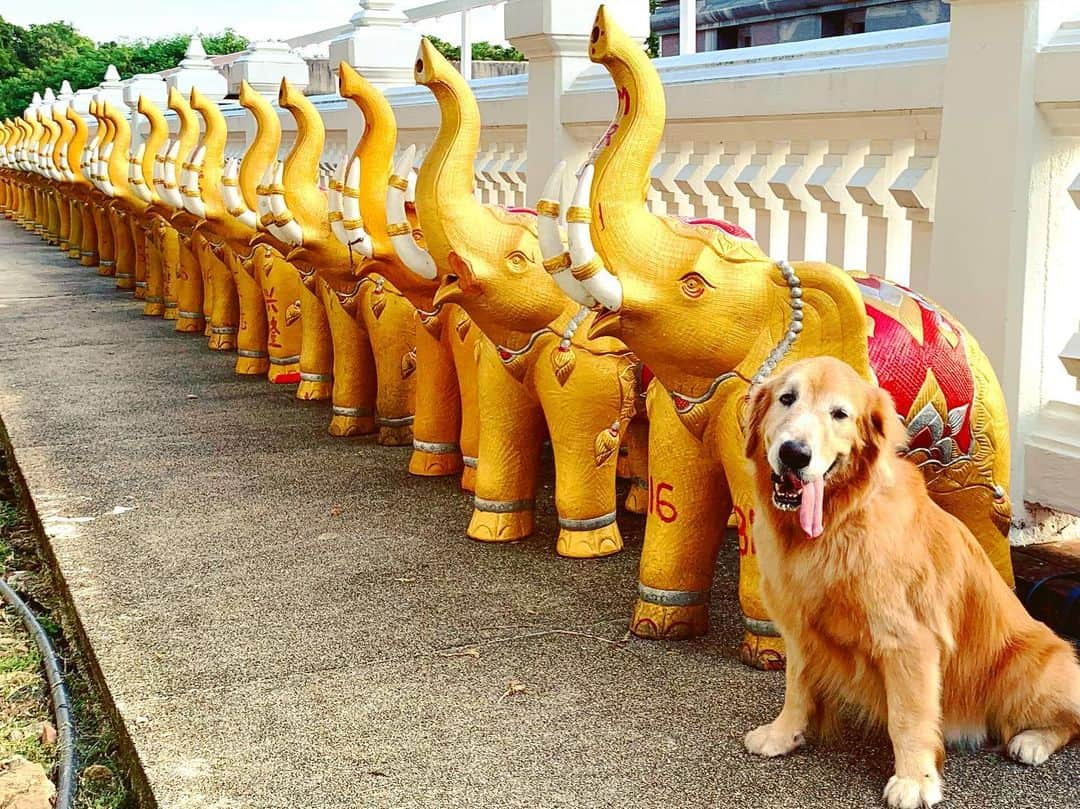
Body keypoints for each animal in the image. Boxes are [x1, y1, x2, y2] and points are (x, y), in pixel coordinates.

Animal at [743, 356, 1080, 803]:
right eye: (787, 398)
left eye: (839, 414)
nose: (794, 454)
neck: (839, 521)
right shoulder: (799, 630)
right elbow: (796, 686)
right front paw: (783, 734)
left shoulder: (908, 642)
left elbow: (908, 716)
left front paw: (914, 779)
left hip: (1024, 670)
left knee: (1071, 719)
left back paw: (1032, 741)